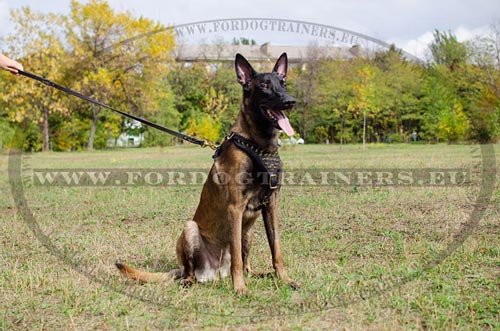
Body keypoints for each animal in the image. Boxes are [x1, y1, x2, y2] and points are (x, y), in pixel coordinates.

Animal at [115, 52, 298, 296]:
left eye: (283, 83)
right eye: (265, 85)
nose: (290, 101)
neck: (258, 144)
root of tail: (217, 272)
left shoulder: (271, 205)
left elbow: (276, 249)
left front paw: (284, 279)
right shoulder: (235, 208)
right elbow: (237, 258)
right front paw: (240, 288)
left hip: (249, 232)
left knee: (246, 265)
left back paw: (260, 274)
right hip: (190, 229)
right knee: (193, 271)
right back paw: (191, 280)